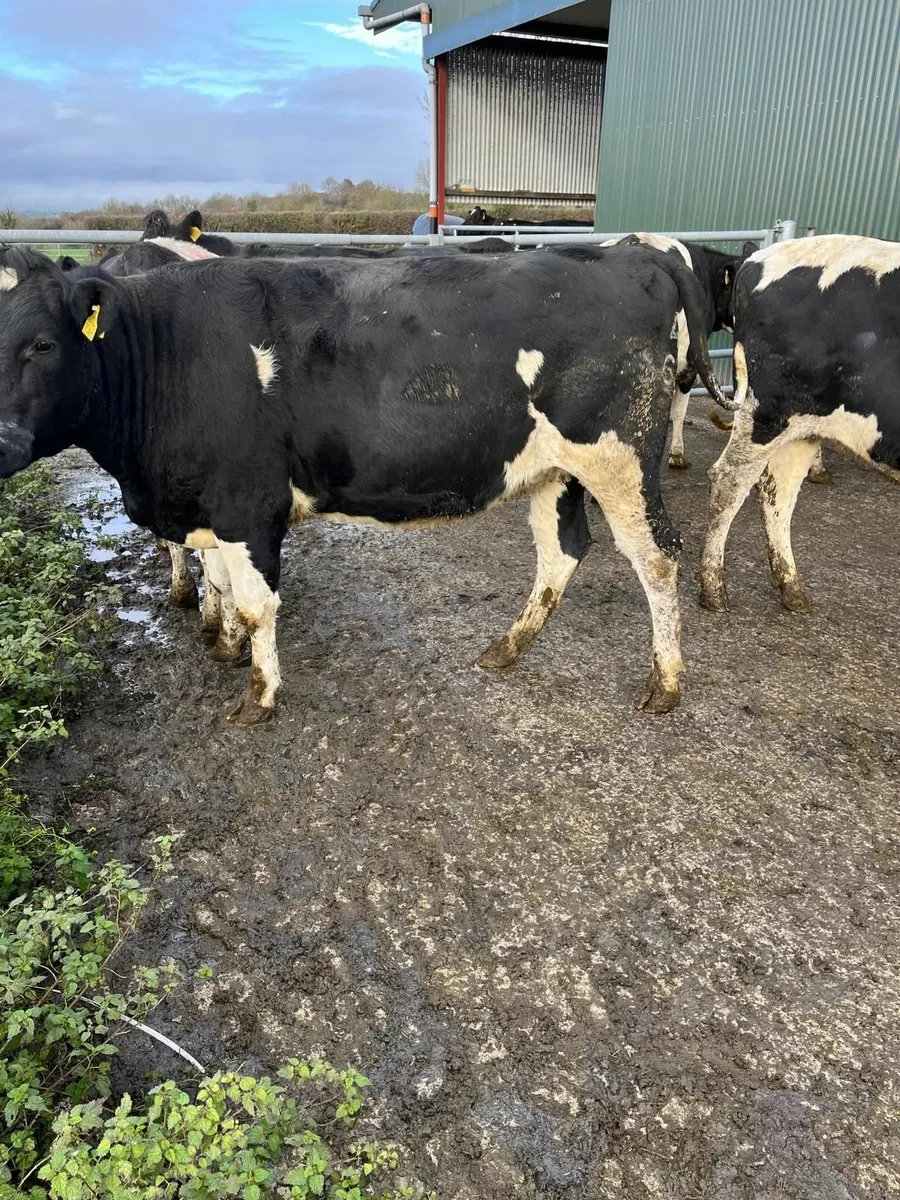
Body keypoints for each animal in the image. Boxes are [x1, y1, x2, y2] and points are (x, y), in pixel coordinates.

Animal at [0, 244, 726, 724]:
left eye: (42, 343)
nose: (2, 442)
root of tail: (625, 254)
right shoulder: (210, 506)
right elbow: (222, 586)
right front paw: (227, 648)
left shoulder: (247, 504)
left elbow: (256, 604)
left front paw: (259, 695)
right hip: (555, 469)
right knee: (562, 553)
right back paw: (507, 648)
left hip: (619, 459)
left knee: (657, 558)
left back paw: (665, 683)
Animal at [698, 234, 900, 615]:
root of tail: (763, 256)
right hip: (770, 413)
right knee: (731, 482)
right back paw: (714, 588)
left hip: (804, 426)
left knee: (778, 492)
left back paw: (791, 587)